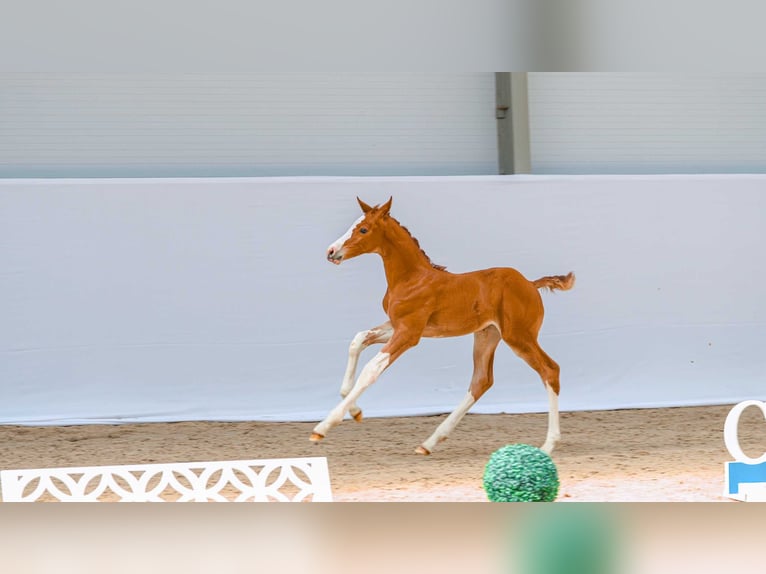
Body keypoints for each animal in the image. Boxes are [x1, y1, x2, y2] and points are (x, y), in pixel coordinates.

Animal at [310, 196, 575, 455]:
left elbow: (372, 368)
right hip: (487, 335)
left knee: (549, 370)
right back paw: (429, 443)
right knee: (481, 381)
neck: (412, 278)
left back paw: (548, 445)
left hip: (519, 336)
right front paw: (354, 410)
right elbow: (358, 339)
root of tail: (530, 283)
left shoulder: (409, 333)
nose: (331, 251)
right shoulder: (398, 326)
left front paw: (323, 427)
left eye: (363, 229)